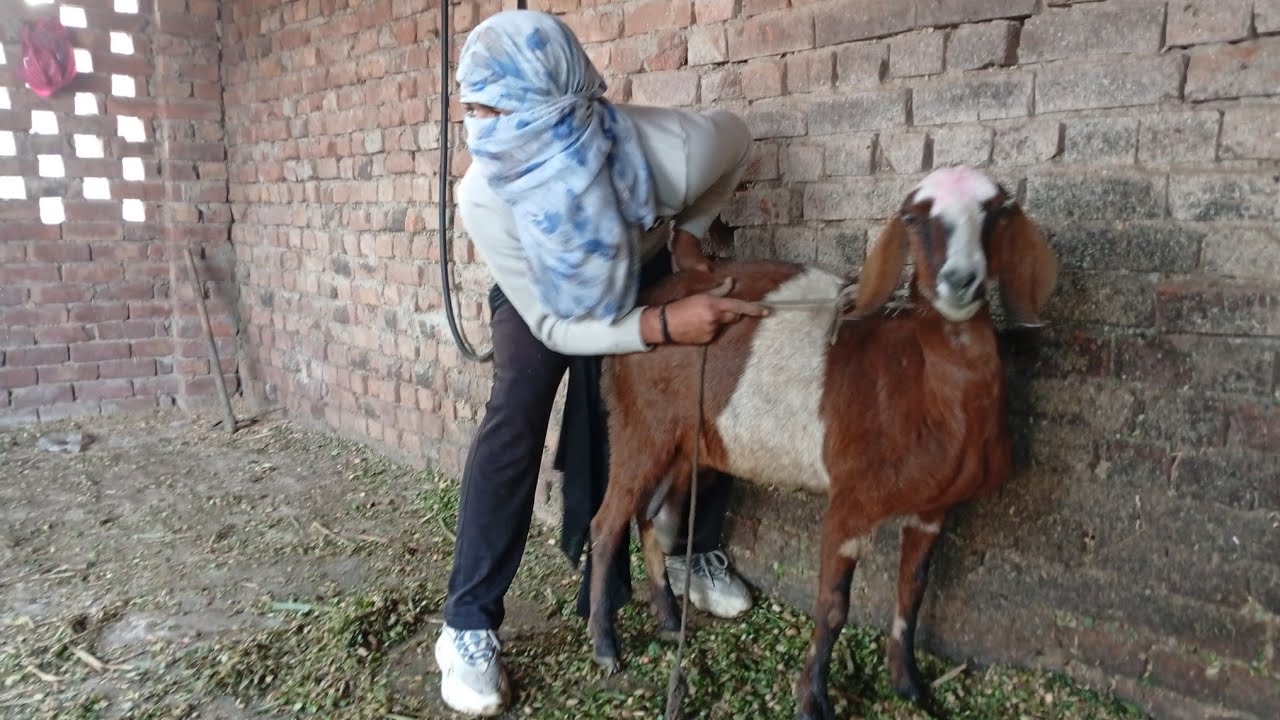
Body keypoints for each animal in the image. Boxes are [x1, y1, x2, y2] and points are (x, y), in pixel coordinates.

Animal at [584, 166, 1059, 720]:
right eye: (914, 218)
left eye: (998, 212)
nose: (960, 281)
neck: (920, 383)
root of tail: (646, 304)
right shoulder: (850, 503)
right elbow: (833, 607)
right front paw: (812, 699)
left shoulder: (933, 510)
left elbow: (912, 592)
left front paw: (910, 685)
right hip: (638, 426)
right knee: (606, 522)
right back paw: (605, 645)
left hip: (684, 444)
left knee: (649, 517)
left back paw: (665, 617)